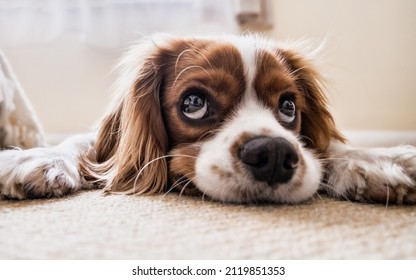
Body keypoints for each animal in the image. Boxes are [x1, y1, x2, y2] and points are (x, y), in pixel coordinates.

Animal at [0, 34, 416, 203]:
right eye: (194, 103)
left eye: (288, 107)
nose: (274, 154)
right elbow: (82, 144)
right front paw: (35, 158)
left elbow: (329, 147)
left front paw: (377, 161)